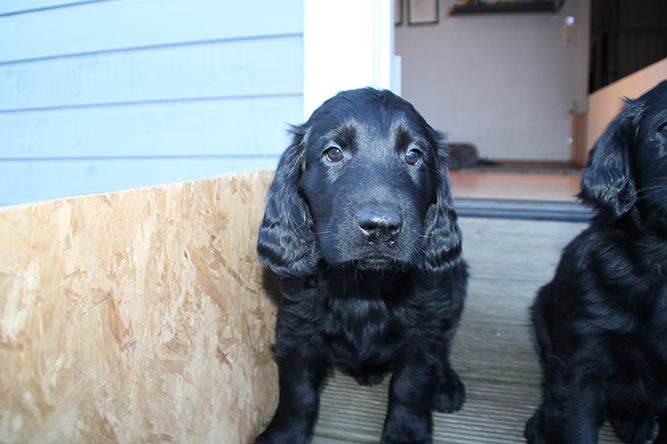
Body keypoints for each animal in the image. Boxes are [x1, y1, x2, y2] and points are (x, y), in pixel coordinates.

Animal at [255, 88, 468, 444]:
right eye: (333, 153)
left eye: (414, 155)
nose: (381, 227)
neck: (364, 284)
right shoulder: (297, 327)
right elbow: (298, 391)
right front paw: (284, 434)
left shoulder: (423, 328)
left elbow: (410, 385)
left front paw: (406, 433)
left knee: (444, 347)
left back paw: (446, 385)